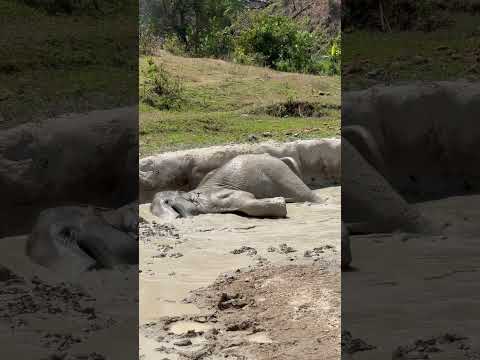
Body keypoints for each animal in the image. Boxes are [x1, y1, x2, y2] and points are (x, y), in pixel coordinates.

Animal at [150, 153, 322, 219]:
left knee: (307, 194)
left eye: (168, 203)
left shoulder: (218, 197)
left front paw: (282, 202)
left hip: (280, 173)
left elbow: (249, 201)